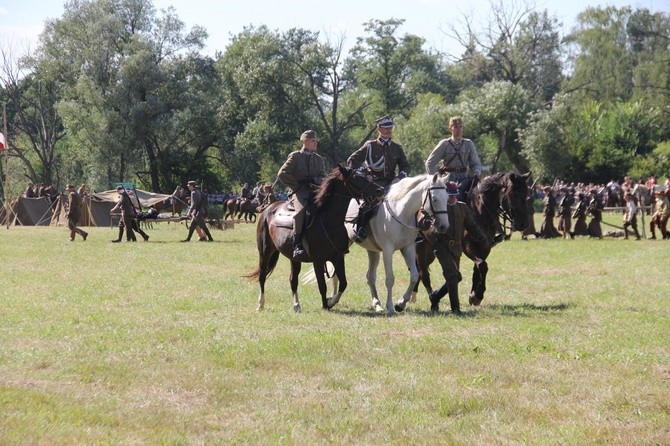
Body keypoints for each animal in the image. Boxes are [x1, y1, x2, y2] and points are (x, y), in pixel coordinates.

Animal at [245, 165, 384, 314]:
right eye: (356, 177)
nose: (380, 190)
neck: (328, 219)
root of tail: (268, 208)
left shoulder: (338, 257)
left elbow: (343, 283)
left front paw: (331, 301)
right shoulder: (318, 261)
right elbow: (322, 285)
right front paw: (325, 305)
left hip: (294, 258)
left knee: (293, 279)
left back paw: (296, 305)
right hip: (265, 252)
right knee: (262, 276)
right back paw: (260, 304)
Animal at [346, 172, 452, 316]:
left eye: (446, 198)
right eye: (434, 199)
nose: (444, 226)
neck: (401, 212)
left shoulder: (408, 248)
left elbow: (414, 276)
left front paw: (401, 304)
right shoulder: (388, 250)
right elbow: (390, 279)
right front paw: (391, 307)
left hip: (373, 251)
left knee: (371, 276)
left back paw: (377, 305)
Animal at [412, 172, 532, 312]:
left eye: (526, 193)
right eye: (514, 194)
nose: (523, 224)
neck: (479, 212)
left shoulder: (484, 248)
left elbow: (478, 268)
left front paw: (474, 294)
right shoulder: (468, 247)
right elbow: (482, 265)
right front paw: (477, 295)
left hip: (430, 252)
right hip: (421, 248)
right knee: (422, 273)